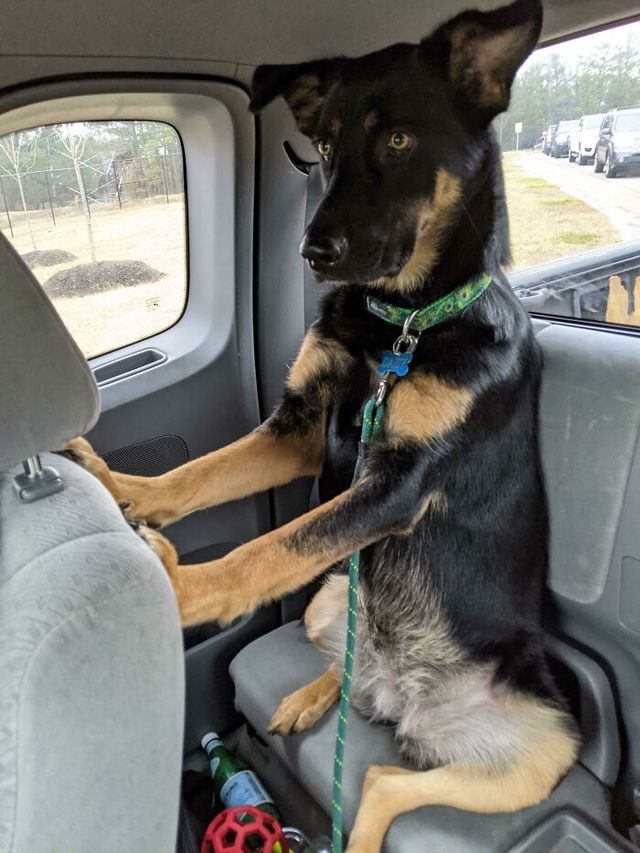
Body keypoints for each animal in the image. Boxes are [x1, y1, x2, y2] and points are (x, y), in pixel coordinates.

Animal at [67, 0, 580, 848]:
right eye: (328, 147)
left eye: (399, 140)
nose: (313, 250)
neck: (401, 324)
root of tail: (405, 698)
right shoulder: (302, 428)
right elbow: (197, 478)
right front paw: (121, 485)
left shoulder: (396, 485)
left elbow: (268, 548)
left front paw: (181, 588)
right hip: (329, 602)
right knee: (355, 699)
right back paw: (317, 693)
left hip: (546, 749)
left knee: (381, 781)